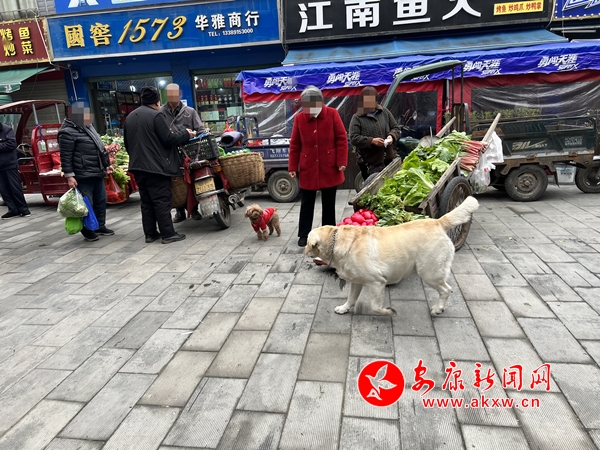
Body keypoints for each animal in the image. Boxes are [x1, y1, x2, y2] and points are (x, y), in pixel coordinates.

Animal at [305, 196, 479, 316]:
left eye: (307, 243)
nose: (304, 250)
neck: (336, 241)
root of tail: (437, 222)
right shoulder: (357, 282)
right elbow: (351, 298)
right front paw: (344, 308)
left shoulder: (377, 282)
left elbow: (375, 306)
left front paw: (388, 312)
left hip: (429, 273)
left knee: (446, 290)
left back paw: (438, 308)